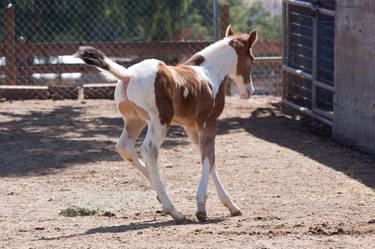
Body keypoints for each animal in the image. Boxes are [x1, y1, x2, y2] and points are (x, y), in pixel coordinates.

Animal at [75, 25, 260, 224]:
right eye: (252, 59)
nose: (249, 91)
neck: (209, 72)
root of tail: (128, 75)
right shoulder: (209, 122)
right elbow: (209, 157)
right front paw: (201, 208)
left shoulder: (191, 127)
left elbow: (207, 158)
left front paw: (231, 206)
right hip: (160, 121)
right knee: (149, 149)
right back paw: (174, 211)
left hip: (135, 121)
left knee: (125, 148)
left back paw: (161, 196)